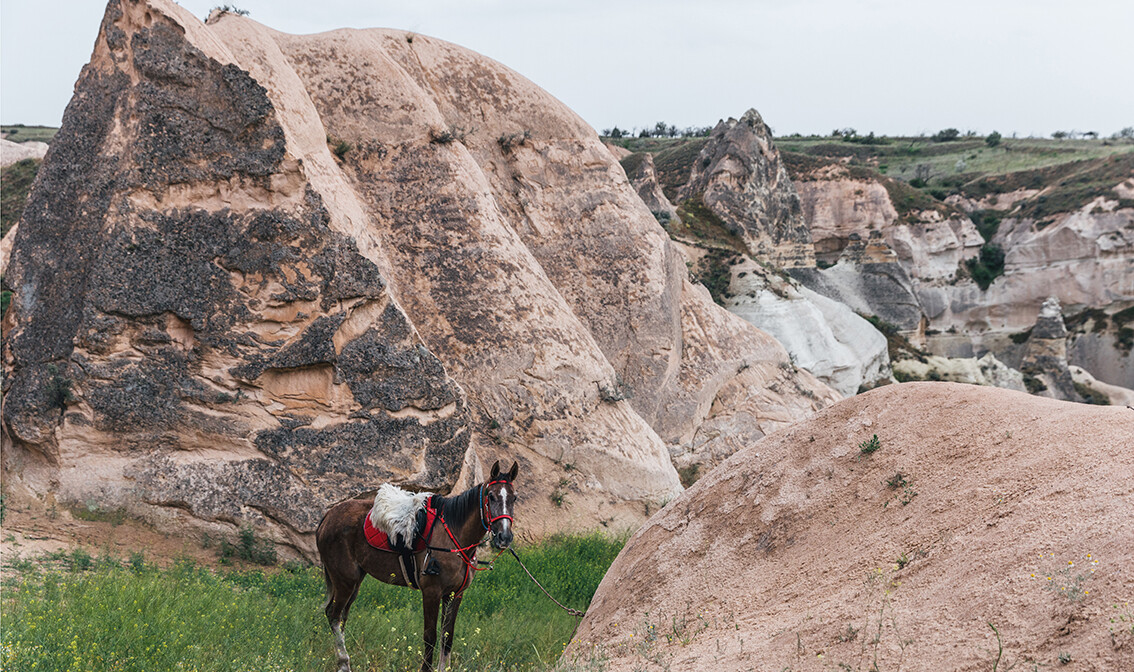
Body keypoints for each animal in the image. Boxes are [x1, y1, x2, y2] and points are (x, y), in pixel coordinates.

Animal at [315, 462, 519, 670]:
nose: (504, 536)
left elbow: (447, 637)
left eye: (514, 498)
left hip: (355, 581)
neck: (454, 535)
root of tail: (329, 515)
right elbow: (430, 637)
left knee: (341, 617)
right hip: (345, 581)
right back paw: (343, 663)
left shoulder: (455, 594)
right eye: (491, 496)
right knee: (334, 615)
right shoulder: (431, 592)